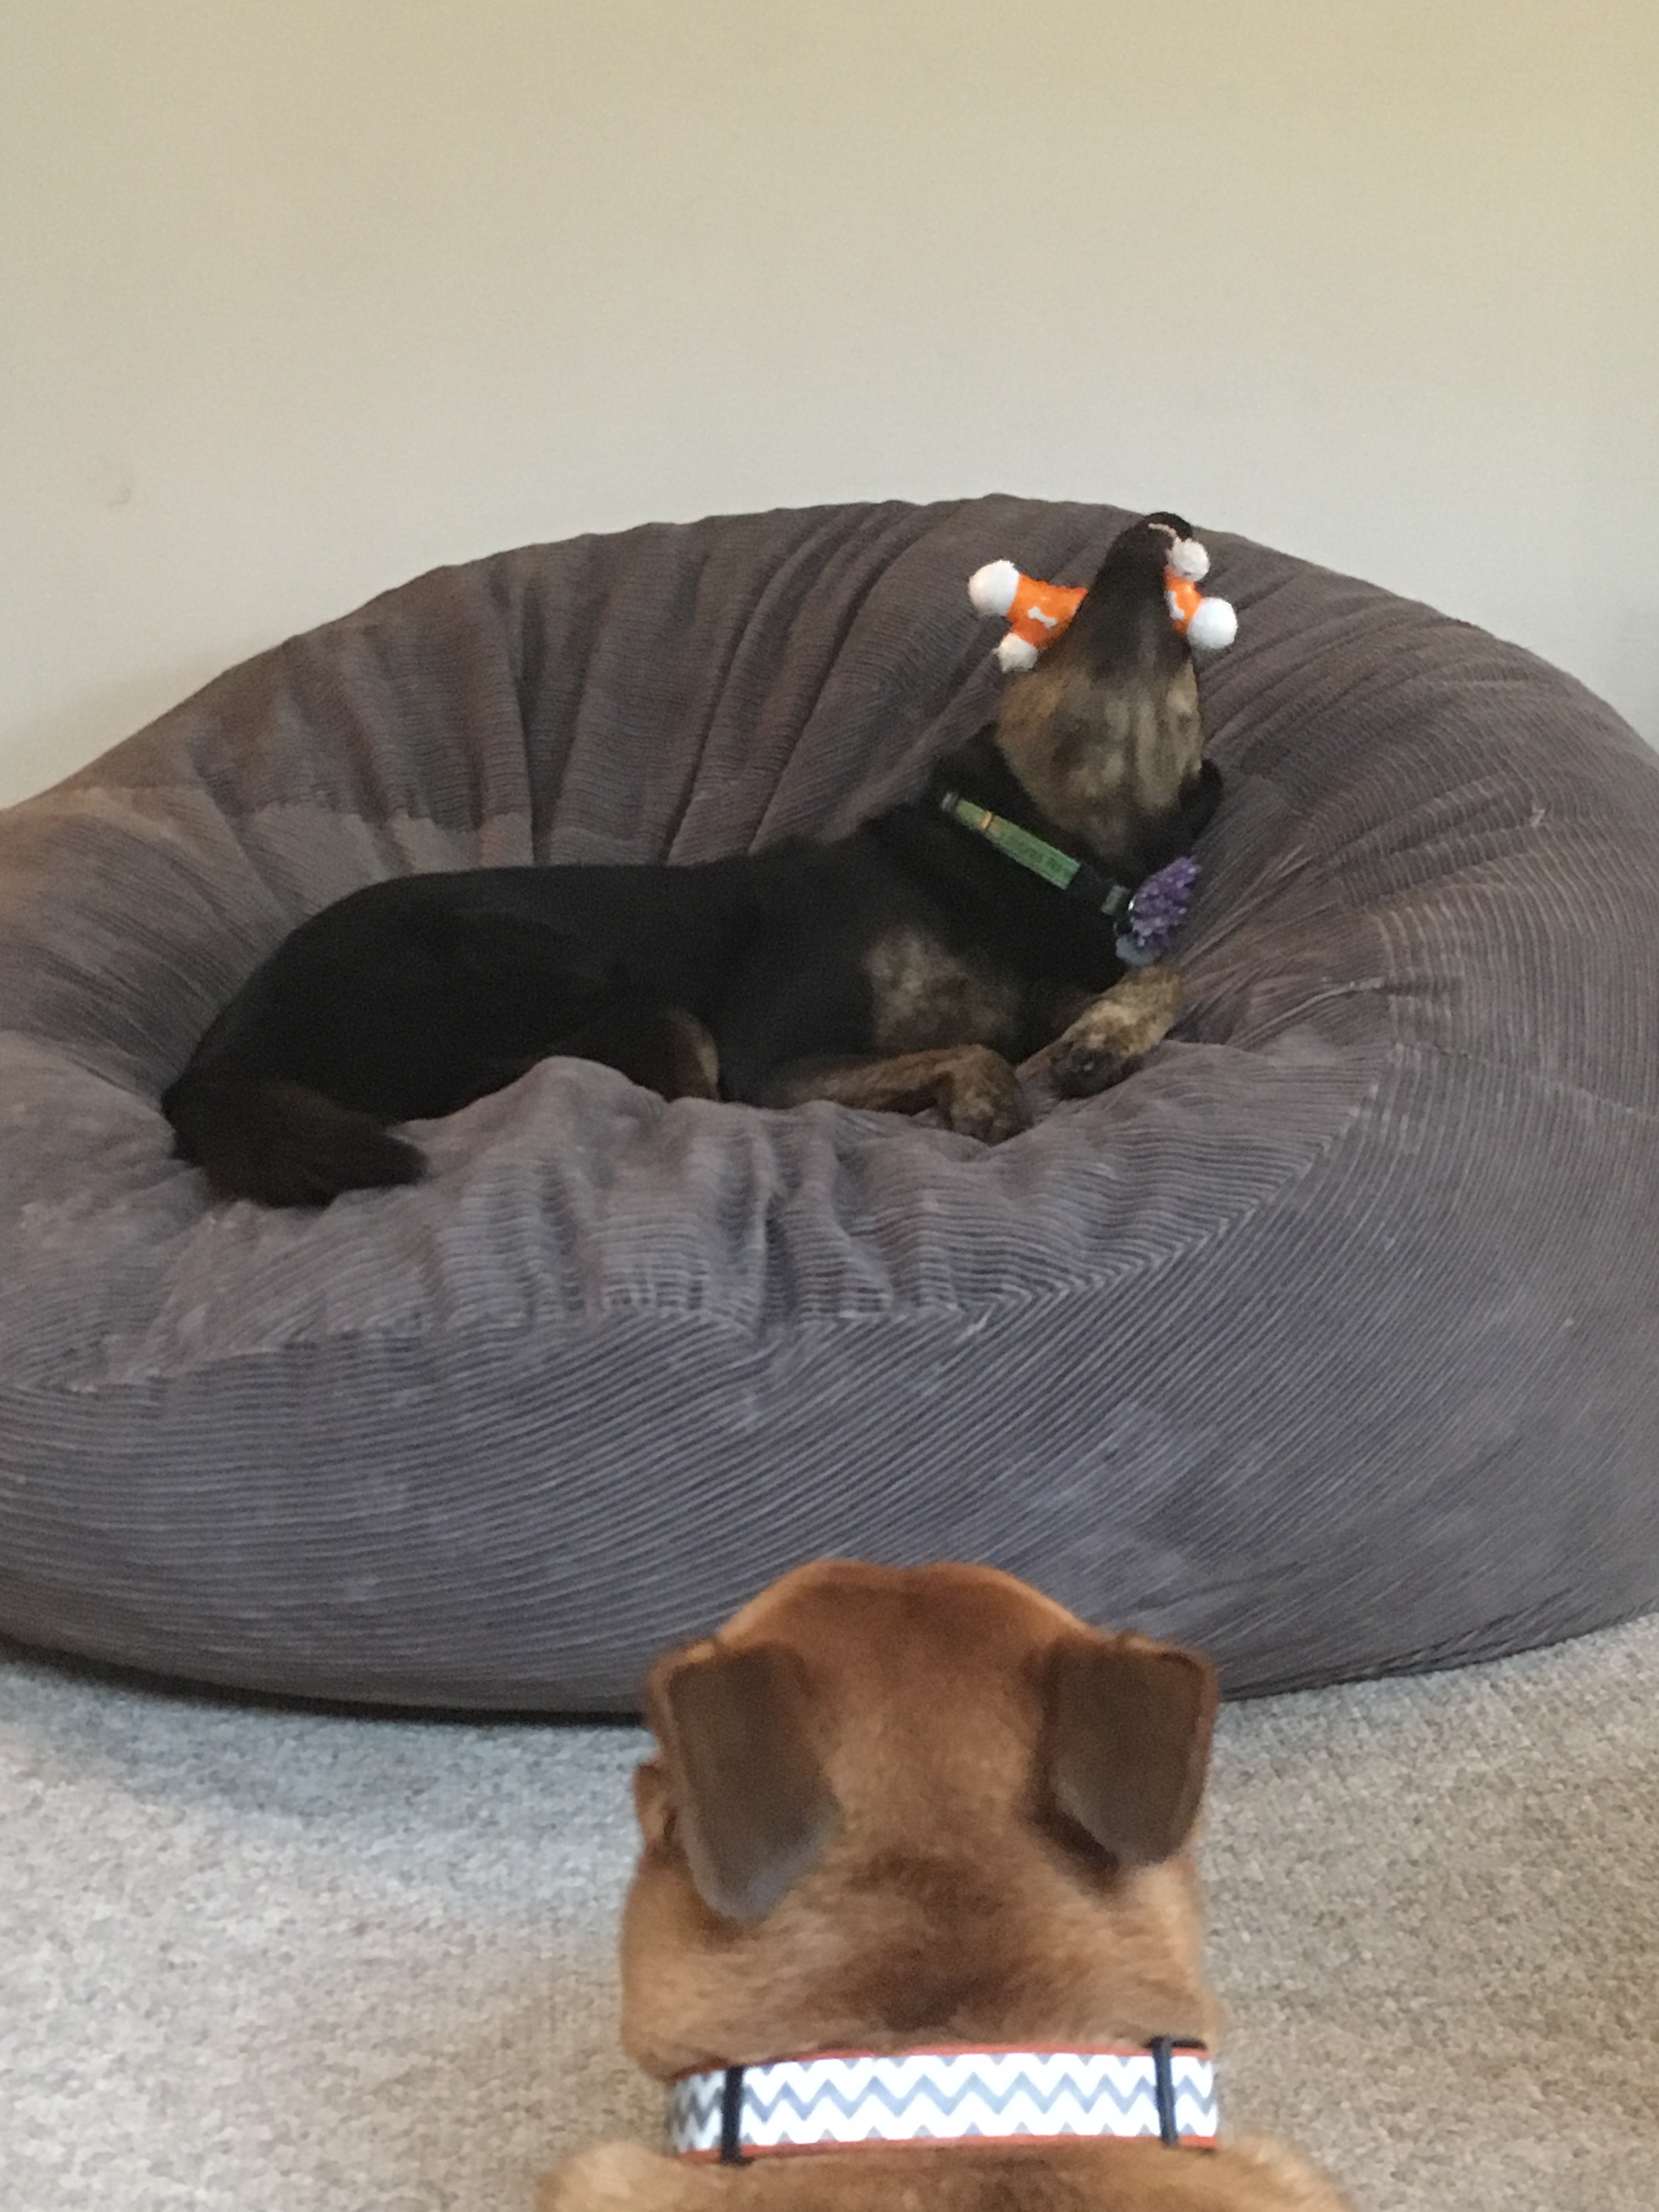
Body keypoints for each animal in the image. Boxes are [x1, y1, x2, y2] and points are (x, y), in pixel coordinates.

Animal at [162, 513, 1223, 1206]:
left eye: (1186, 673)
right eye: (1057, 625)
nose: (1164, 524)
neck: (1023, 854)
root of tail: (210, 1067)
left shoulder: (1043, 987)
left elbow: (1164, 979)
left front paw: (1100, 1042)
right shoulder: (770, 1053)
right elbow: (966, 1049)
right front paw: (991, 1094)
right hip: (613, 998)